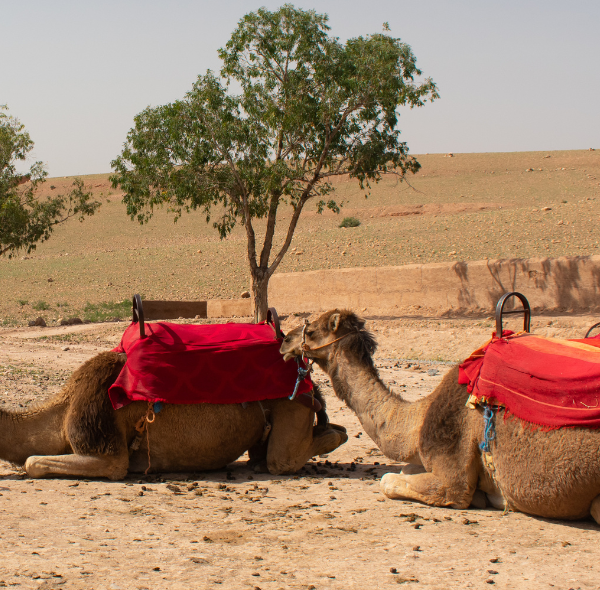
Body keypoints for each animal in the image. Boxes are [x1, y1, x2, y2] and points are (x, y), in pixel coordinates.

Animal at [0, 352, 346, 480]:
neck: (62, 409)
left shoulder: (106, 451)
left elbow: (32, 462)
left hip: (292, 406)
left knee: (283, 459)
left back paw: (333, 436)